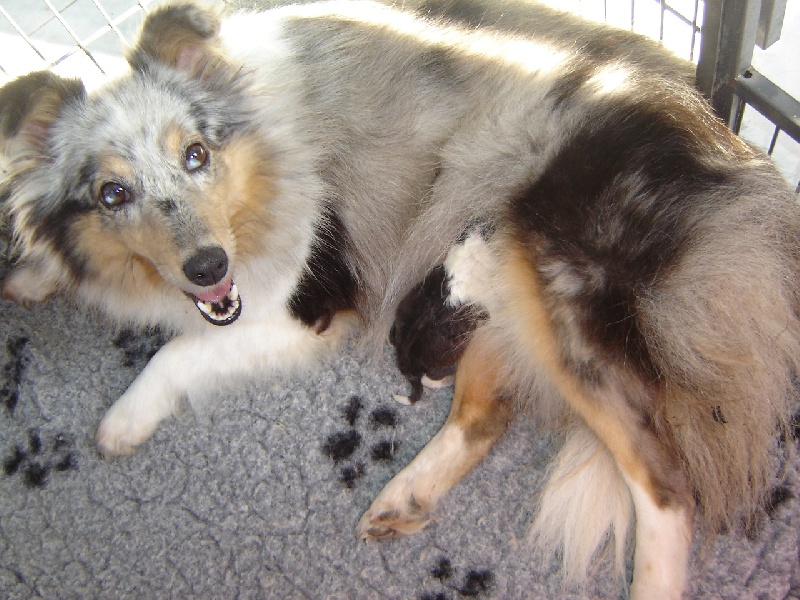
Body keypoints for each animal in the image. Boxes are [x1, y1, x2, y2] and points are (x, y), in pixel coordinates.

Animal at [1, 2, 800, 596]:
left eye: (196, 154)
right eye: (112, 194)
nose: (207, 267)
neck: (257, 157)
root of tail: (723, 143)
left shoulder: (311, 303)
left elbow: (177, 349)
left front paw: (122, 421)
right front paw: (32, 274)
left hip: (560, 297)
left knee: (668, 484)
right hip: (493, 296)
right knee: (486, 414)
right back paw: (402, 499)